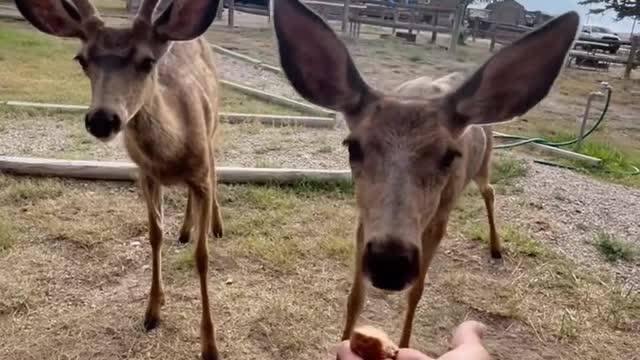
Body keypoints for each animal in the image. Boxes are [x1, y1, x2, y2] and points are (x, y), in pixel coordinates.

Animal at [13, 0, 226, 358]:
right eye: (82, 59)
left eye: (147, 61)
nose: (102, 119)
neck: (171, 154)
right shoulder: (145, 174)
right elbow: (154, 236)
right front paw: (153, 310)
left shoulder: (201, 172)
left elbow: (202, 256)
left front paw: (210, 345)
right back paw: (185, 230)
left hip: (215, 127)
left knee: (217, 165)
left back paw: (215, 225)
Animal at [272, 0, 584, 348]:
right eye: (353, 147)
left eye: (449, 156)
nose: (390, 263)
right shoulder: (364, 218)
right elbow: (355, 296)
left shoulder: (438, 220)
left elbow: (417, 292)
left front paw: (405, 344)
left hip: (483, 164)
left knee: (489, 191)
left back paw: (496, 248)